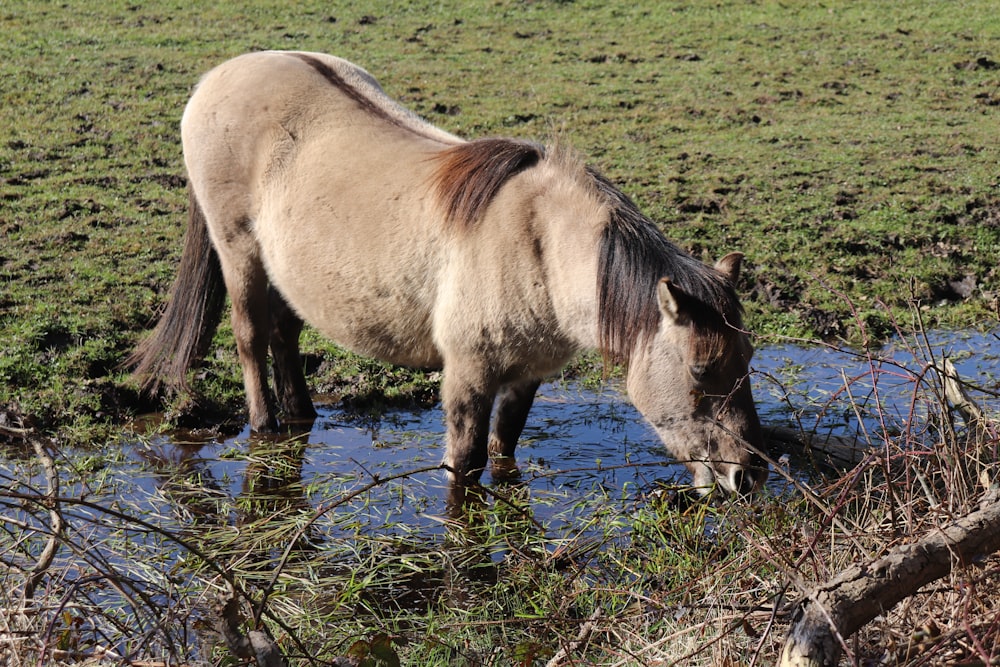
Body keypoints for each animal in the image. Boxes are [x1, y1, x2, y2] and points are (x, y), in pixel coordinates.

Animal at [129, 51, 768, 496]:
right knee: (251, 339)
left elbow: (505, 451)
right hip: (240, 255)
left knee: (285, 337)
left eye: (749, 358)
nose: (749, 477)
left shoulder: (526, 377)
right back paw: (265, 425)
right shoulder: (467, 376)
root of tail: (216, 79)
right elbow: (465, 466)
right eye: (700, 368)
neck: (538, 247)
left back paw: (304, 416)